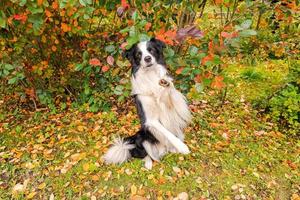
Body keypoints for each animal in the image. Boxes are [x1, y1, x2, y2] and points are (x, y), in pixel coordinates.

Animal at [103, 37, 191, 169]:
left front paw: (166, 83)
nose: (147, 58)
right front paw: (182, 147)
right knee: (146, 155)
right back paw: (148, 163)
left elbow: (172, 92)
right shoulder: (150, 120)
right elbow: (168, 133)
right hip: (141, 138)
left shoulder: (174, 102)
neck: (150, 75)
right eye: (139, 54)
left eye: (151, 50)